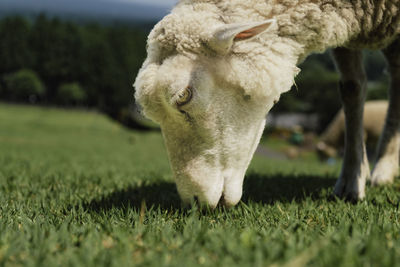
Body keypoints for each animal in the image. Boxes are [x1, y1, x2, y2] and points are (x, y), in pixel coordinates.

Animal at [135, 0, 400, 208]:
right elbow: (352, 89)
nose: (194, 202)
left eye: (184, 96)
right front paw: (352, 179)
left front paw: (361, 178)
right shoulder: (347, 29)